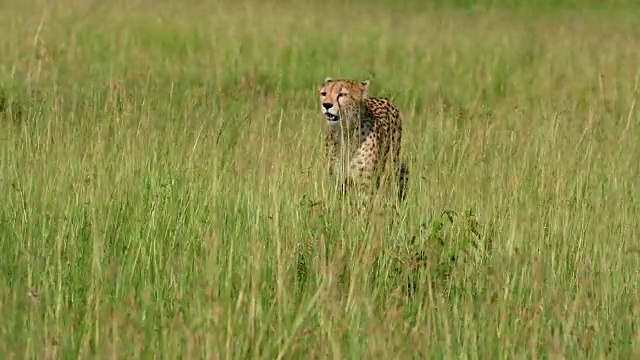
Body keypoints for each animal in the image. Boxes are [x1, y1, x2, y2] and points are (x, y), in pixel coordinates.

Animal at [318, 76, 408, 204]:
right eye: (324, 93)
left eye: (342, 94)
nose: (326, 105)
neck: (345, 132)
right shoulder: (339, 181)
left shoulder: (365, 184)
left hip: (391, 167)